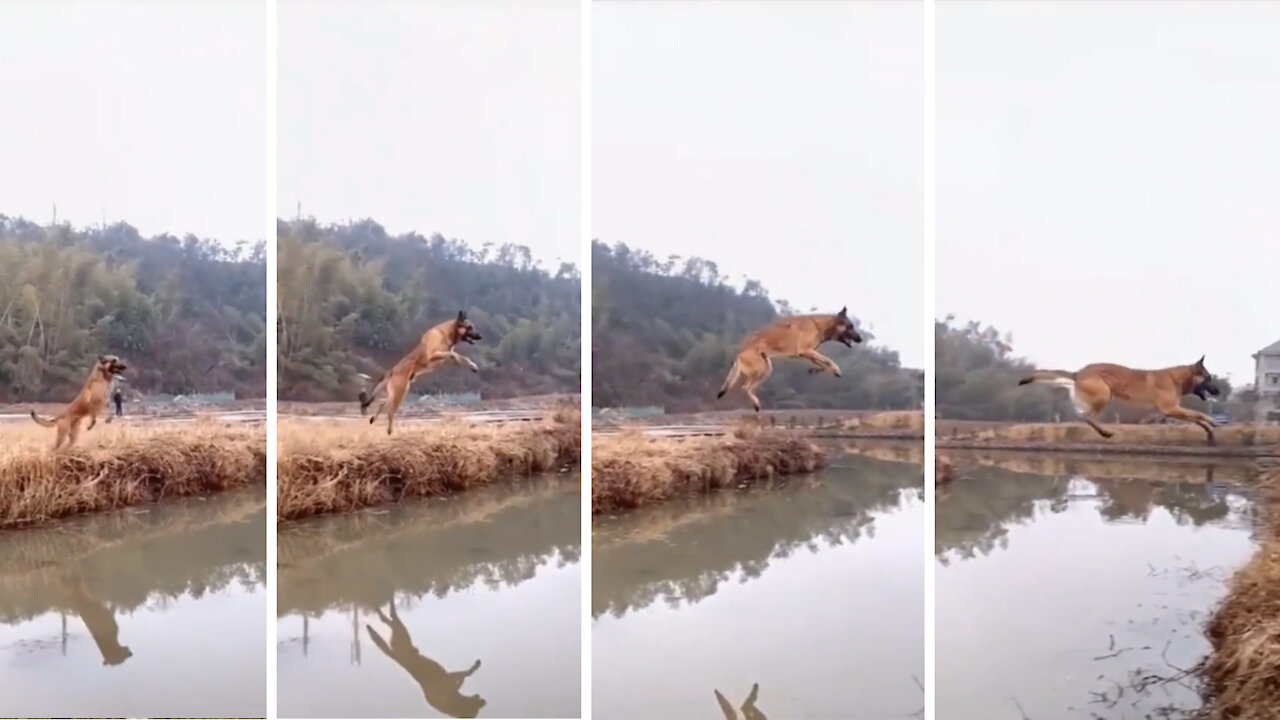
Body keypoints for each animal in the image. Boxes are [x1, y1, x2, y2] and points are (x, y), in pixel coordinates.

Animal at [716, 304, 865, 412]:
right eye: (850, 326)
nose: (861, 339)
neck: (821, 326)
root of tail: (739, 353)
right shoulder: (806, 351)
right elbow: (829, 360)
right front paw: (836, 369)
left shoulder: (808, 354)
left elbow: (824, 364)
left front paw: (817, 370)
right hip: (761, 369)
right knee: (746, 387)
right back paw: (756, 404)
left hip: (767, 369)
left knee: (750, 387)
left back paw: (756, 404)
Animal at [1018, 353, 1218, 440]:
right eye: (1208, 378)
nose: (1219, 392)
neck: (1178, 378)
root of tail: (1078, 373)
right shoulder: (1171, 409)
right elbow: (1198, 414)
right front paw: (1212, 420)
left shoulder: (1172, 411)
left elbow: (1195, 419)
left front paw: (1208, 429)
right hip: (1104, 394)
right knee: (1088, 418)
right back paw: (1104, 432)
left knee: (1085, 417)